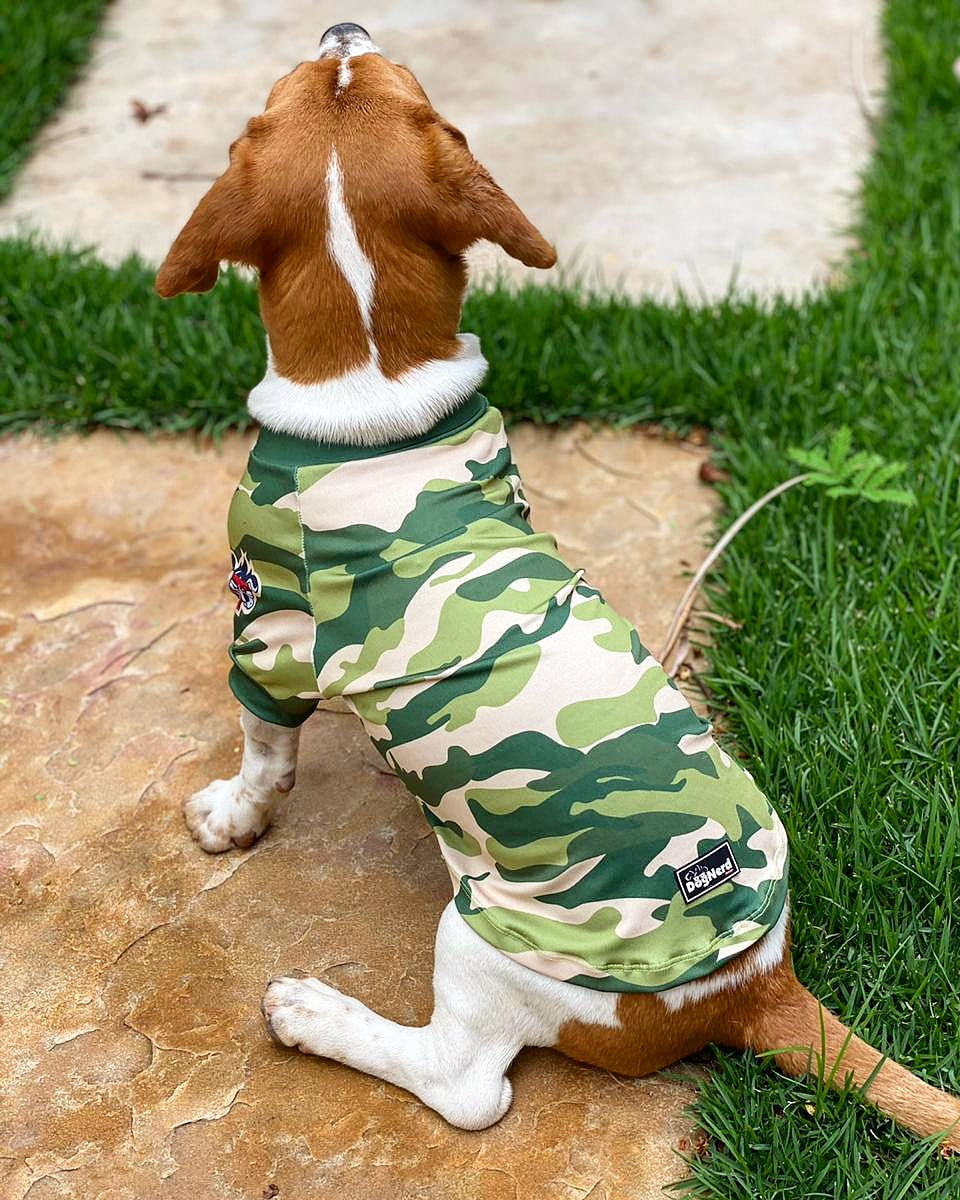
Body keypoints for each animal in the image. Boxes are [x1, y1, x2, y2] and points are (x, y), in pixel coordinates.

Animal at [155, 23, 960, 1148]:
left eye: (303, 82)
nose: (344, 29)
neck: (377, 387)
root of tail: (756, 987)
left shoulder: (263, 628)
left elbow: (265, 752)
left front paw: (233, 815)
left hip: (483, 941)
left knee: (467, 1089)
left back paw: (317, 1015)